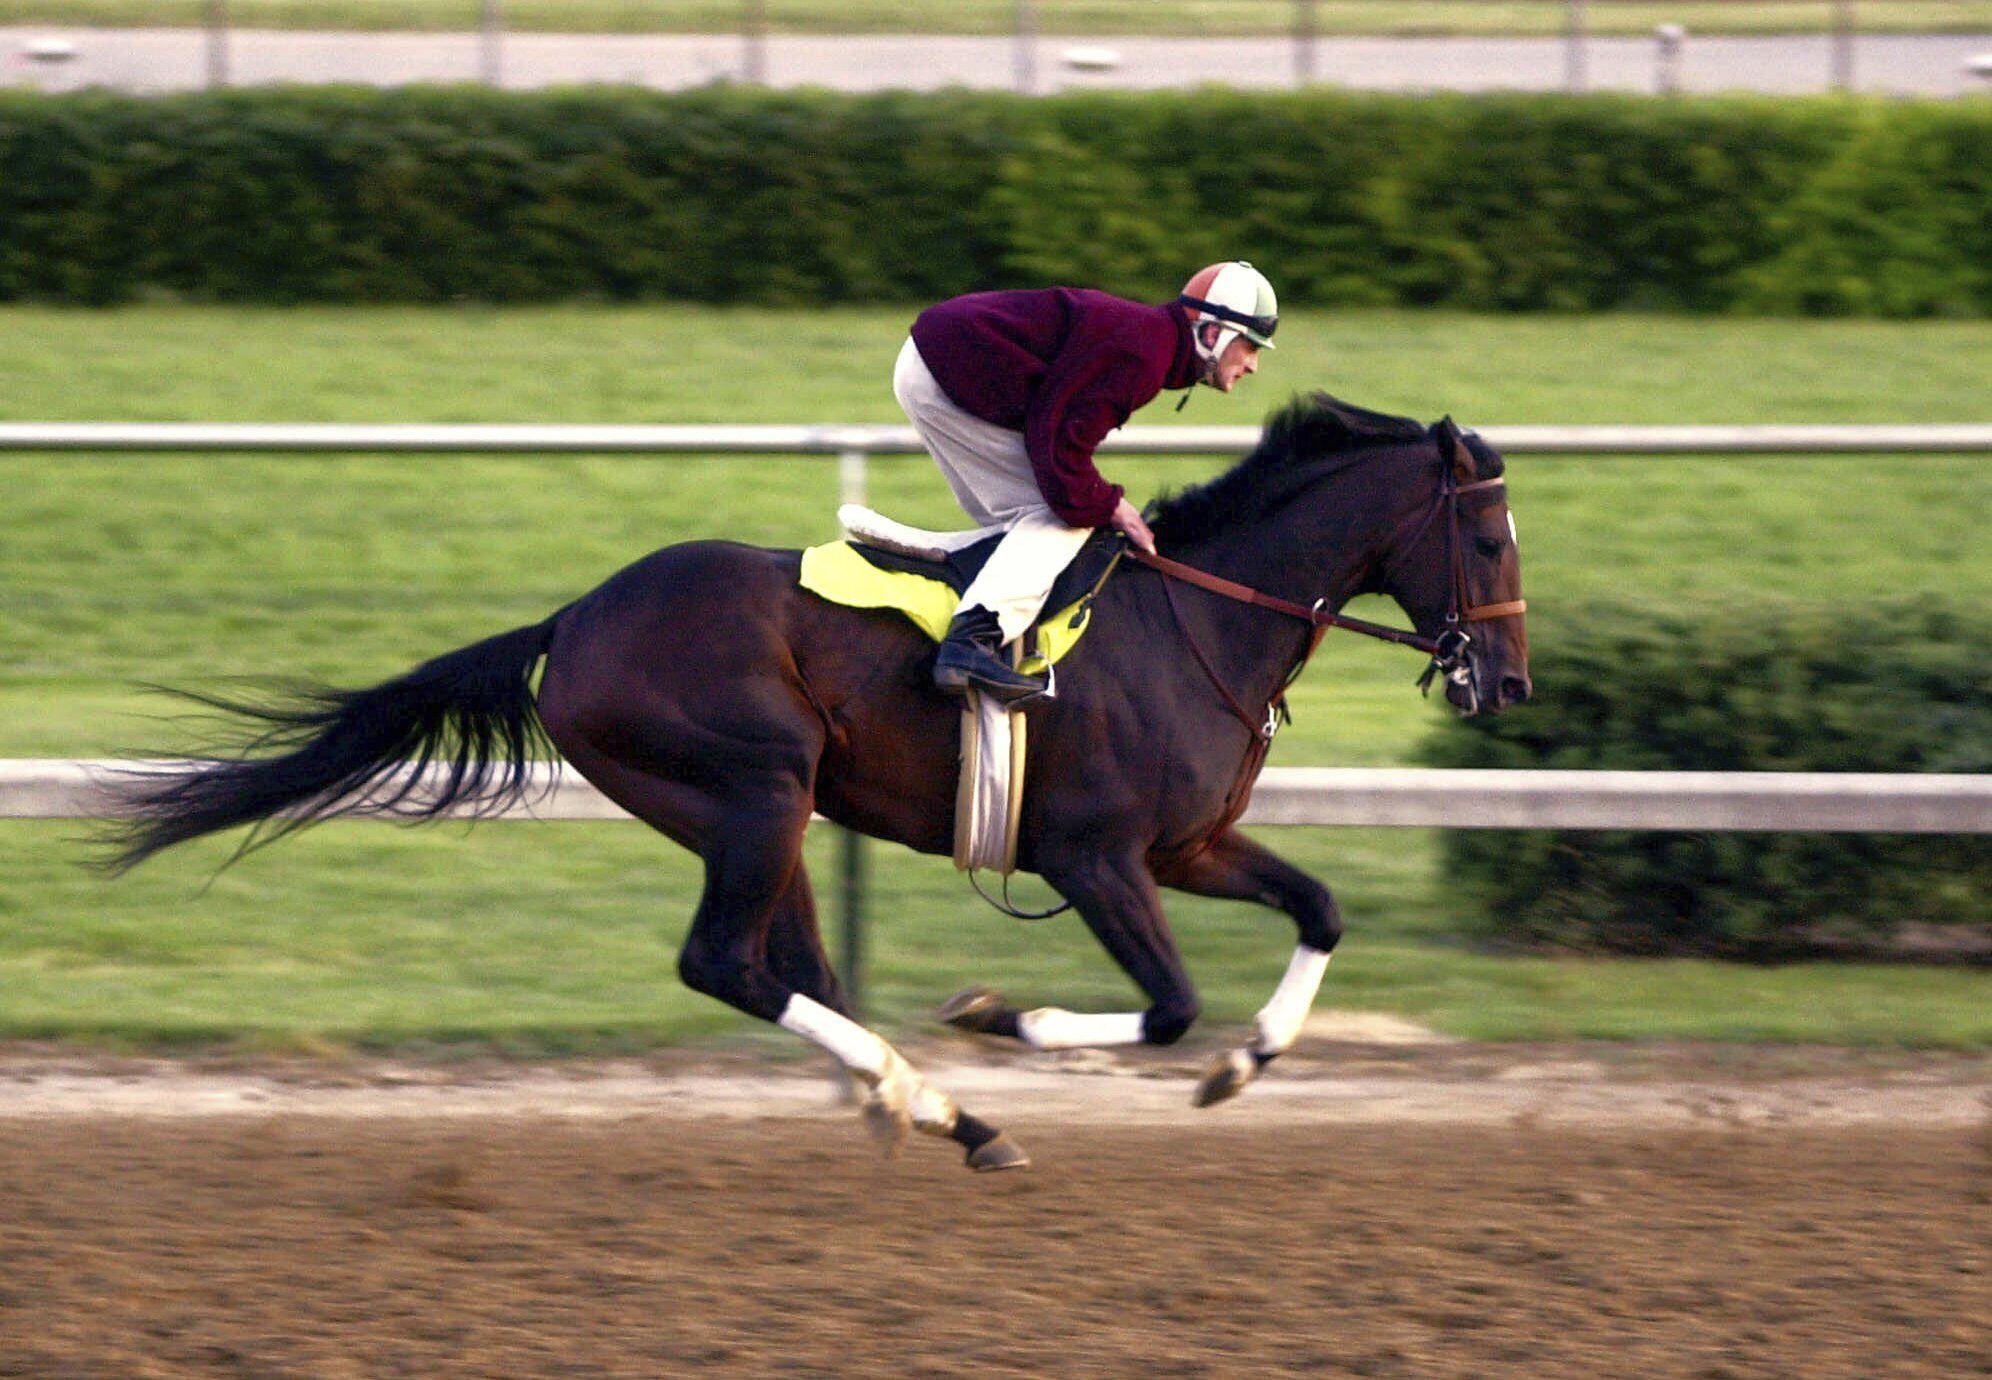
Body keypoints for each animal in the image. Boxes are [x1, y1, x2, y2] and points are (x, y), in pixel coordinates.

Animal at [109, 390, 1529, 1170]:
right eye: (1488, 535)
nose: (1508, 682)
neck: (1198, 619)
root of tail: (575, 618)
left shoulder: (1188, 846)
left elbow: (1320, 911)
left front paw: (1250, 1064)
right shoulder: (1094, 857)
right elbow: (1171, 1004)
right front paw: (997, 1015)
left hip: (764, 810)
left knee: (791, 968)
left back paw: (934, 1109)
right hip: (754, 787)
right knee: (727, 966)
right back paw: (938, 1095)